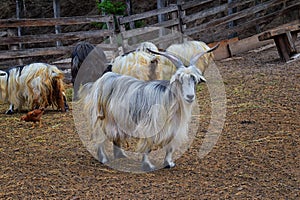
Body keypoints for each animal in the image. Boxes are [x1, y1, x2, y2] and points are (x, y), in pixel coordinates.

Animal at [78, 44, 219, 171]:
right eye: (179, 79)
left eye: (195, 80)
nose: (190, 96)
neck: (168, 99)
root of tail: (98, 82)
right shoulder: (150, 126)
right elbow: (147, 147)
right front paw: (148, 166)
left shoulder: (173, 128)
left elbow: (170, 147)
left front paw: (168, 163)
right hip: (100, 117)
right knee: (99, 135)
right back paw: (103, 158)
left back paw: (121, 155)